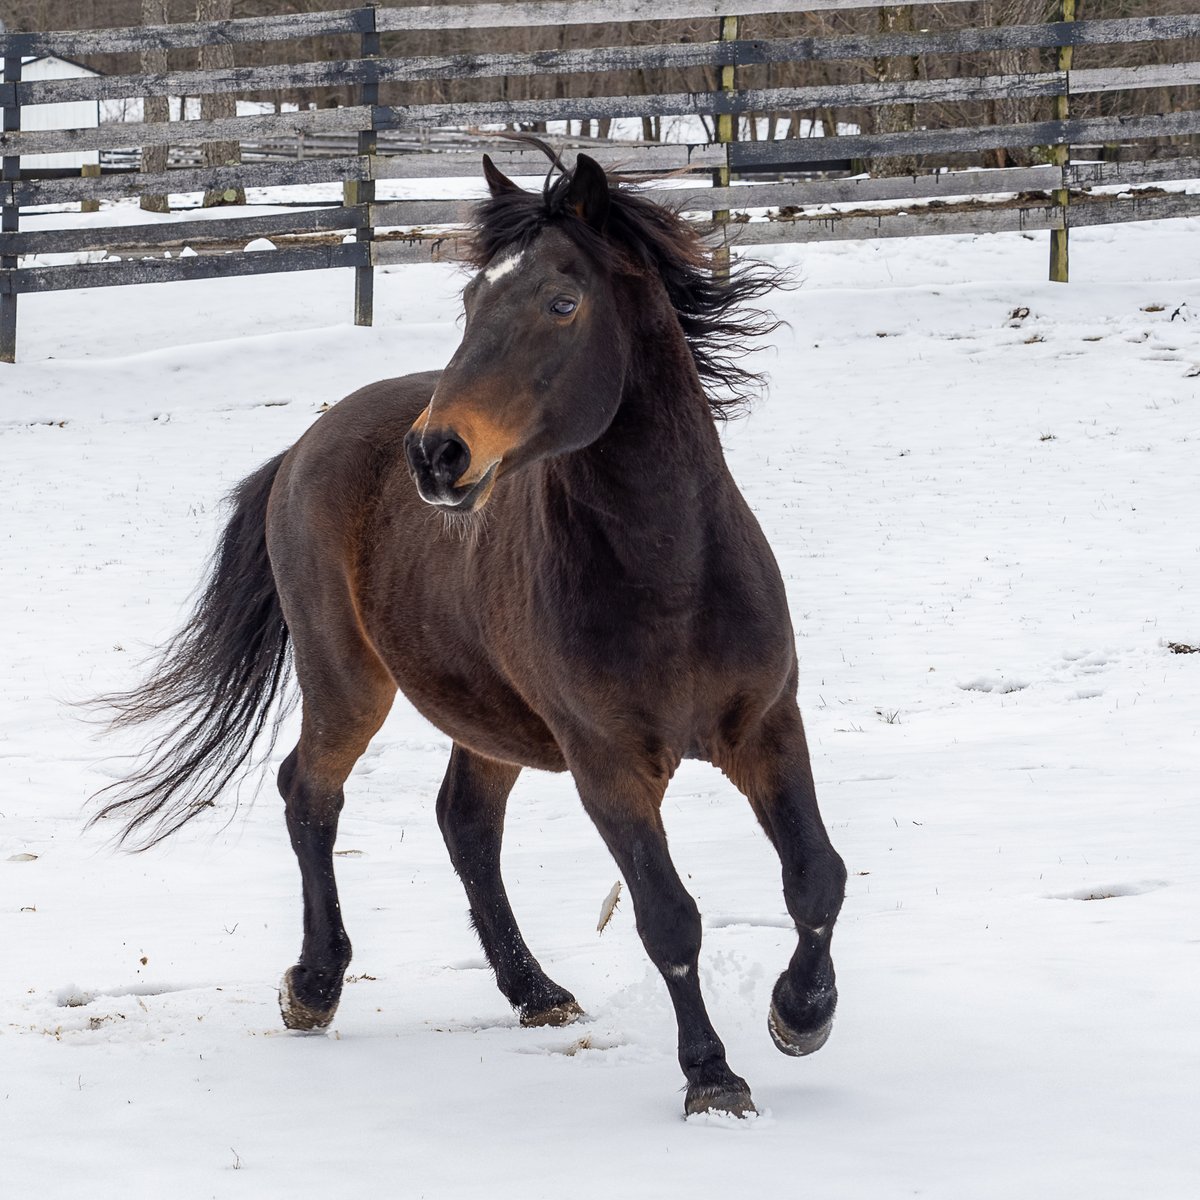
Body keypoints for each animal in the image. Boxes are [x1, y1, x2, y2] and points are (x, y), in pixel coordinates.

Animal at [95, 144, 847, 1119]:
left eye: (562, 302)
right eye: (469, 304)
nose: (437, 455)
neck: (671, 576)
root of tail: (305, 447)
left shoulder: (767, 727)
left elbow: (817, 876)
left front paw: (801, 1013)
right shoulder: (607, 766)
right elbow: (668, 918)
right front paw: (713, 1078)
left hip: (486, 716)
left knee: (464, 823)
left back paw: (535, 990)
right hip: (347, 683)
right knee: (310, 793)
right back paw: (316, 986)